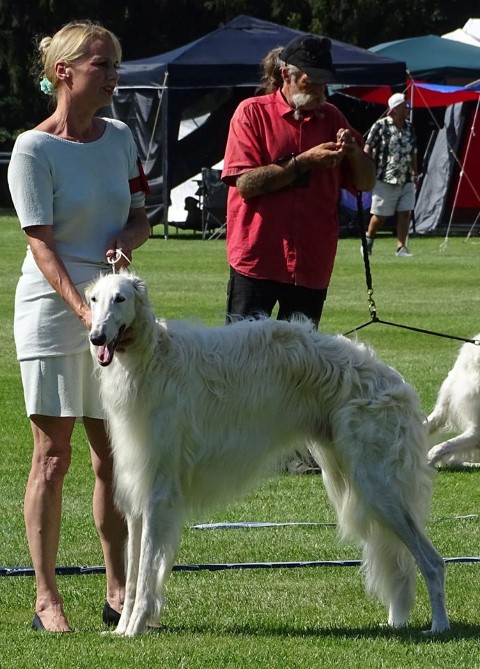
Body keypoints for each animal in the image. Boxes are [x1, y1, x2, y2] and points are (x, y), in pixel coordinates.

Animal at [86, 270, 449, 637]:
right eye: (94, 299)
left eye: (120, 298)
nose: (96, 337)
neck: (152, 359)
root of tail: (396, 383)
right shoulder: (138, 496)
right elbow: (134, 575)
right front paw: (122, 629)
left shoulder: (159, 494)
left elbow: (147, 572)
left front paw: (135, 627)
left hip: (377, 484)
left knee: (433, 560)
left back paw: (439, 625)